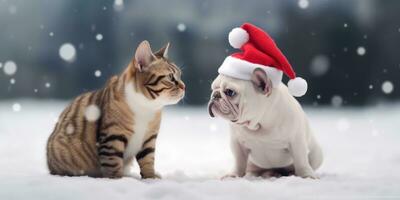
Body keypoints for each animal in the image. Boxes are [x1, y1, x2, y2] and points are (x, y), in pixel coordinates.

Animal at [46, 40, 186, 178]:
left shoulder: (149, 138)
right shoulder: (113, 135)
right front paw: (117, 179)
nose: (184, 86)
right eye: (170, 77)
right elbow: (113, 163)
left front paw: (151, 178)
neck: (147, 107)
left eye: (180, 76)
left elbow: (148, 160)